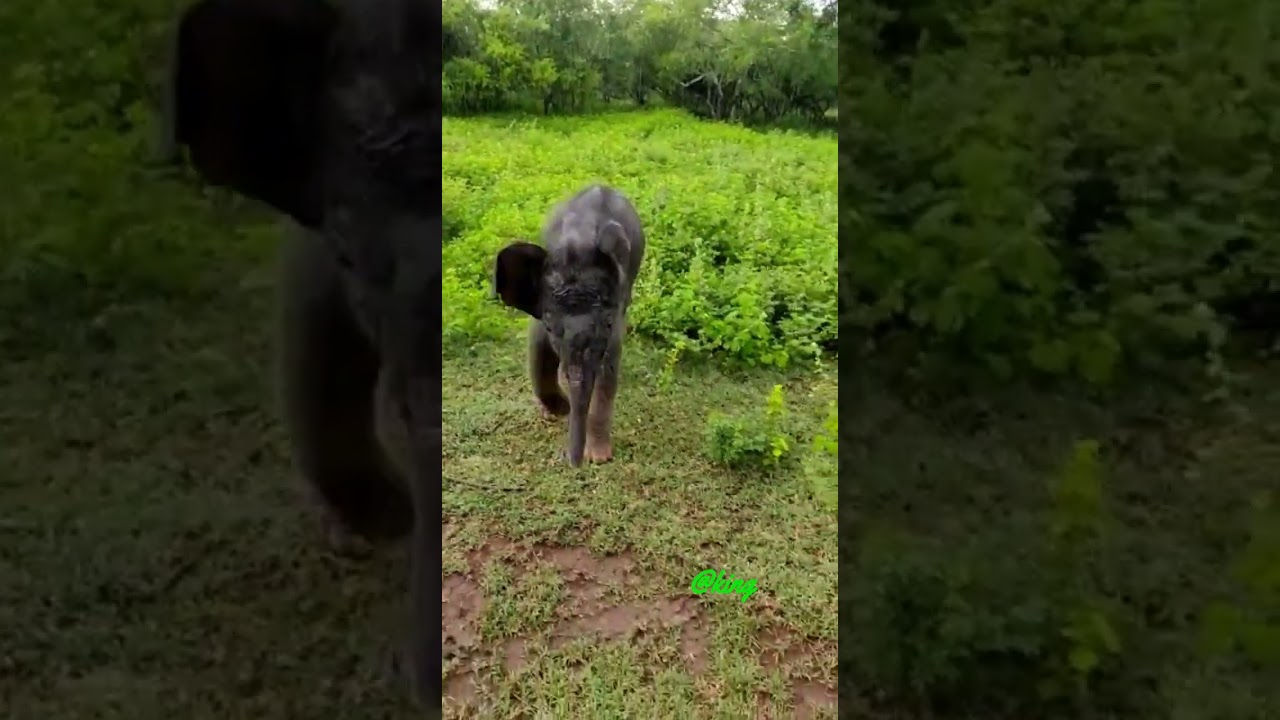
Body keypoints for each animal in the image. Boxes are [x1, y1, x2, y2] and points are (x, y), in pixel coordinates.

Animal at [493, 184, 647, 468]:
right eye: (551, 326)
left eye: (608, 323)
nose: (574, 463)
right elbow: (538, 351)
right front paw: (559, 409)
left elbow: (608, 370)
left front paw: (598, 457)